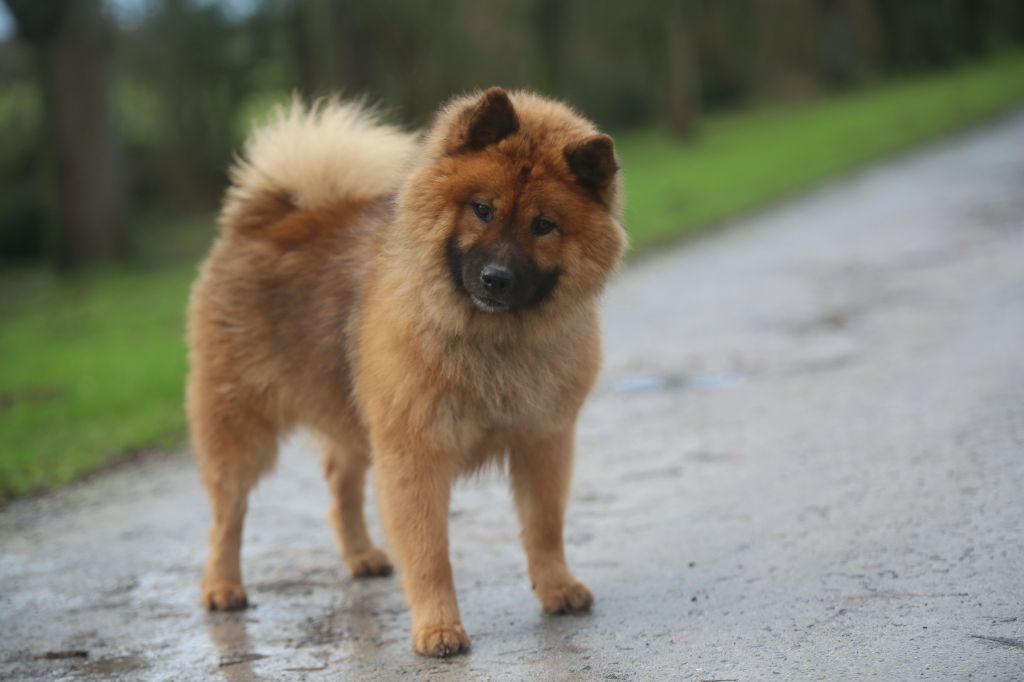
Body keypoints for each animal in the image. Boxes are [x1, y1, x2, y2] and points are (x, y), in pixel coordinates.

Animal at [188, 86, 626, 655]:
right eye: (482, 209)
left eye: (543, 225)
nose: (497, 278)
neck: (492, 342)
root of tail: (267, 217)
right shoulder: (415, 453)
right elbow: (429, 551)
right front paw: (438, 628)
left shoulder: (542, 441)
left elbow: (545, 527)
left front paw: (557, 588)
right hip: (241, 425)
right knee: (228, 514)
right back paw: (222, 586)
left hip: (351, 415)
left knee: (340, 485)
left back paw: (360, 556)